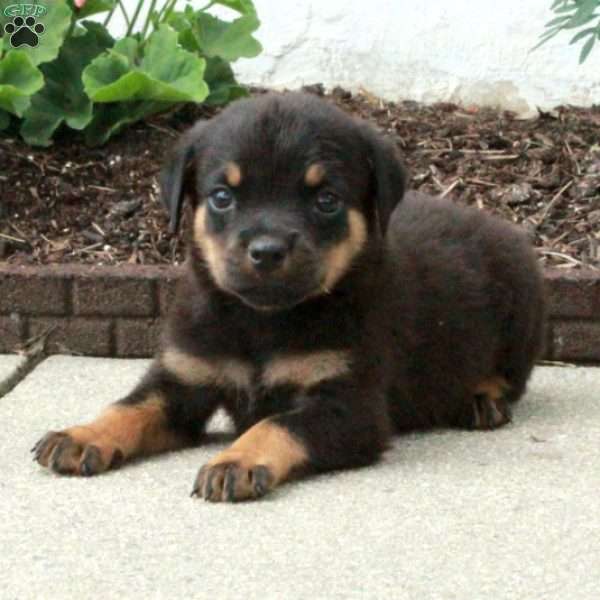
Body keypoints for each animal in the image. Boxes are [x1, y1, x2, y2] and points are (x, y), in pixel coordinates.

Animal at [34, 90, 548, 502]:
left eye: (326, 200)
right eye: (222, 196)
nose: (266, 251)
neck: (261, 320)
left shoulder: (350, 405)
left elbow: (278, 423)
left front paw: (235, 460)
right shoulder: (183, 377)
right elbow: (130, 407)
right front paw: (82, 434)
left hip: (524, 307)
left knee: (512, 377)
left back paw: (481, 399)